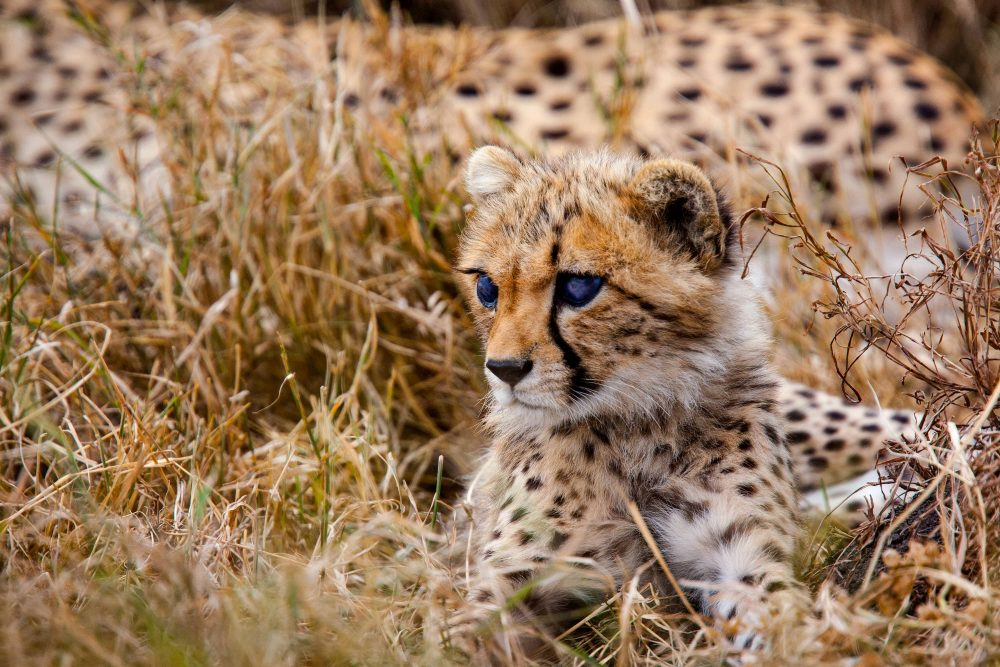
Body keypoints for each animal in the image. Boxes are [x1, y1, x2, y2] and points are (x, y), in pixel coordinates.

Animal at [455, 146, 919, 659]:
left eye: (578, 286)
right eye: (487, 288)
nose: (504, 369)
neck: (630, 425)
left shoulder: (739, 554)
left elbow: (776, 618)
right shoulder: (515, 575)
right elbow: (462, 640)